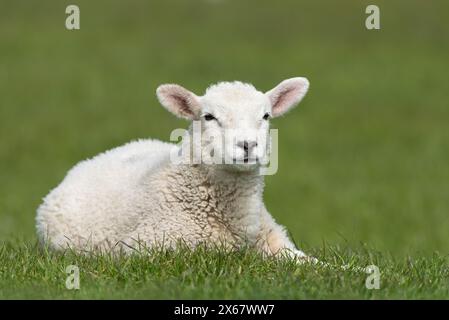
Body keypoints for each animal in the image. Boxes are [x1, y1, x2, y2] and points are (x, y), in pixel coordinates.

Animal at [36, 77, 312, 260]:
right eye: (208, 117)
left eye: (266, 116)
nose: (247, 145)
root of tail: (85, 163)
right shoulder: (155, 244)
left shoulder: (274, 239)